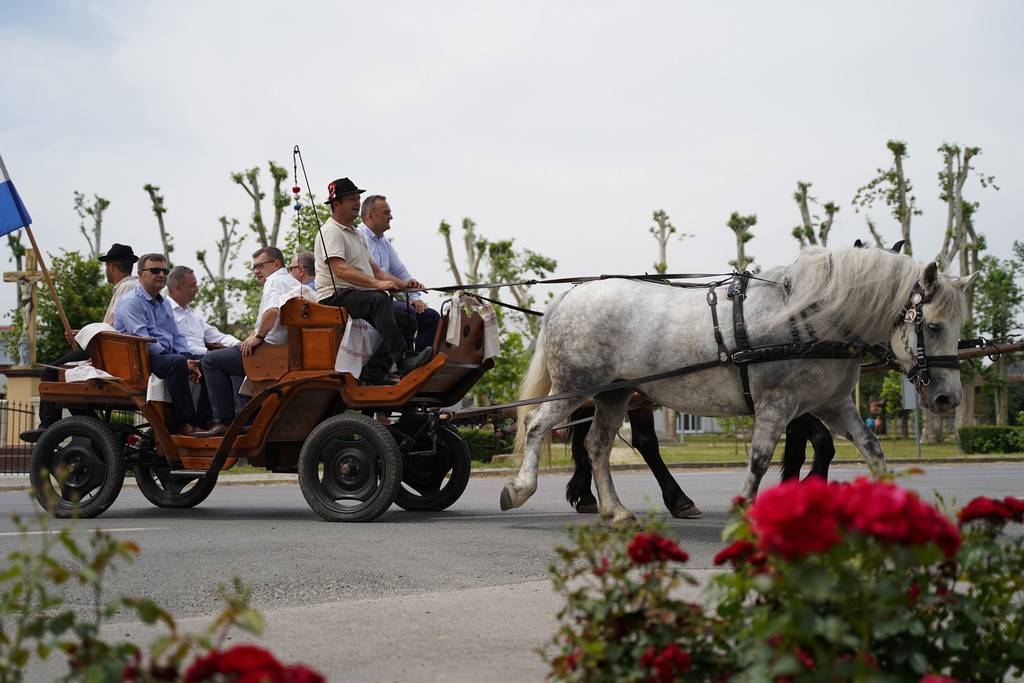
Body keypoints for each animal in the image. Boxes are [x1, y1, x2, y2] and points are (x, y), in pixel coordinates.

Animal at [507, 248, 970, 528]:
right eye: (932, 326)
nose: (948, 398)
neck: (811, 319)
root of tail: (569, 296)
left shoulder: (835, 405)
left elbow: (870, 450)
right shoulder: (779, 405)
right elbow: (762, 458)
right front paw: (747, 507)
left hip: (615, 393)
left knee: (598, 444)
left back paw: (615, 509)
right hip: (575, 387)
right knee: (537, 424)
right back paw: (521, 488)